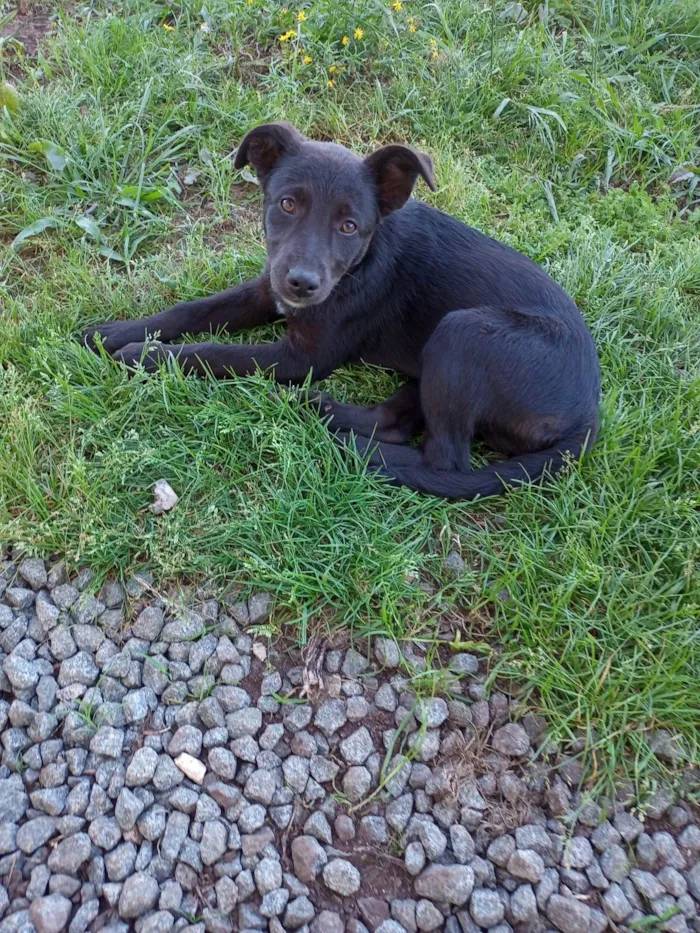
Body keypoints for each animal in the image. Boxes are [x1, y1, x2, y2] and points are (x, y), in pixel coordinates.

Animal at [86, 124, 600, 502]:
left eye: (350, 226)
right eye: (287, 204)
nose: (302, 284)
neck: (359, 265)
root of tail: (589, 415)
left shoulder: (303, 356)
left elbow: (213, 352)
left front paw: (143, 356)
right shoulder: (266, 287)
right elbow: (193, 310)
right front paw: (115, 333)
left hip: (464, 331)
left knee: (444, 461)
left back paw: (348, 446)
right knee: (398, 423)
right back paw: (324, 411)